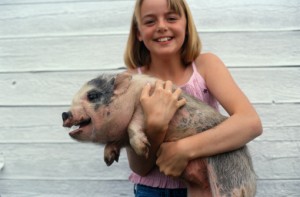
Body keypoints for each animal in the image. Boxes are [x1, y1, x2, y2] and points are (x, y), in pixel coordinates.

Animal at [61, 71, 255, 197]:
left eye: (92, 96)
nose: (64, 114)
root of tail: (252, 181)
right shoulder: (121, 136)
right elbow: (116, 142)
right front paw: (108, 159)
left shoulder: (143, 105)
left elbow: (134, 123)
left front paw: (143, 148)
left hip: (228, 172)